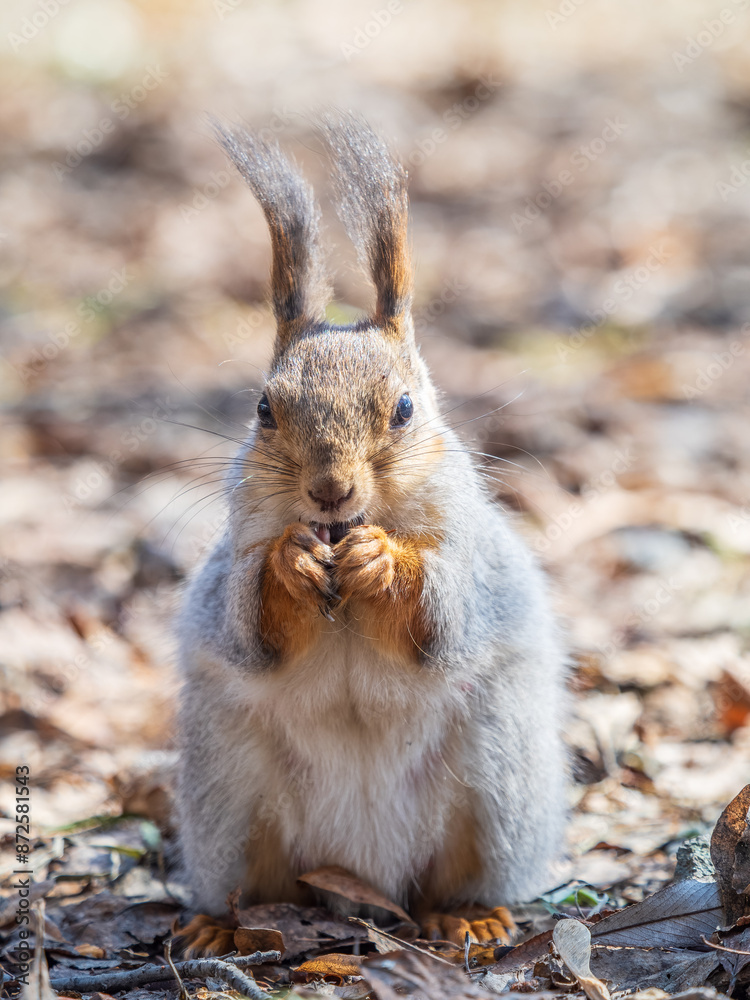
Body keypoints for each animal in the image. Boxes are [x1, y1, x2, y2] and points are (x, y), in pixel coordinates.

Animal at [174, 112, 568, 955]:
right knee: (259, 885)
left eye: (406, 409)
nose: (330, 491)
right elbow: (247, 624)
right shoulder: (230, 565)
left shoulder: (472, 566)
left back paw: (469, 915)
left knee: (456, 879)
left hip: (496, 789)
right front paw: (290, 563)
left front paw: (383, 560)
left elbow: (442, 615)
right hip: (229, 803)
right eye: (264, 408)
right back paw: (220, 928)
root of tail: (366, 879)